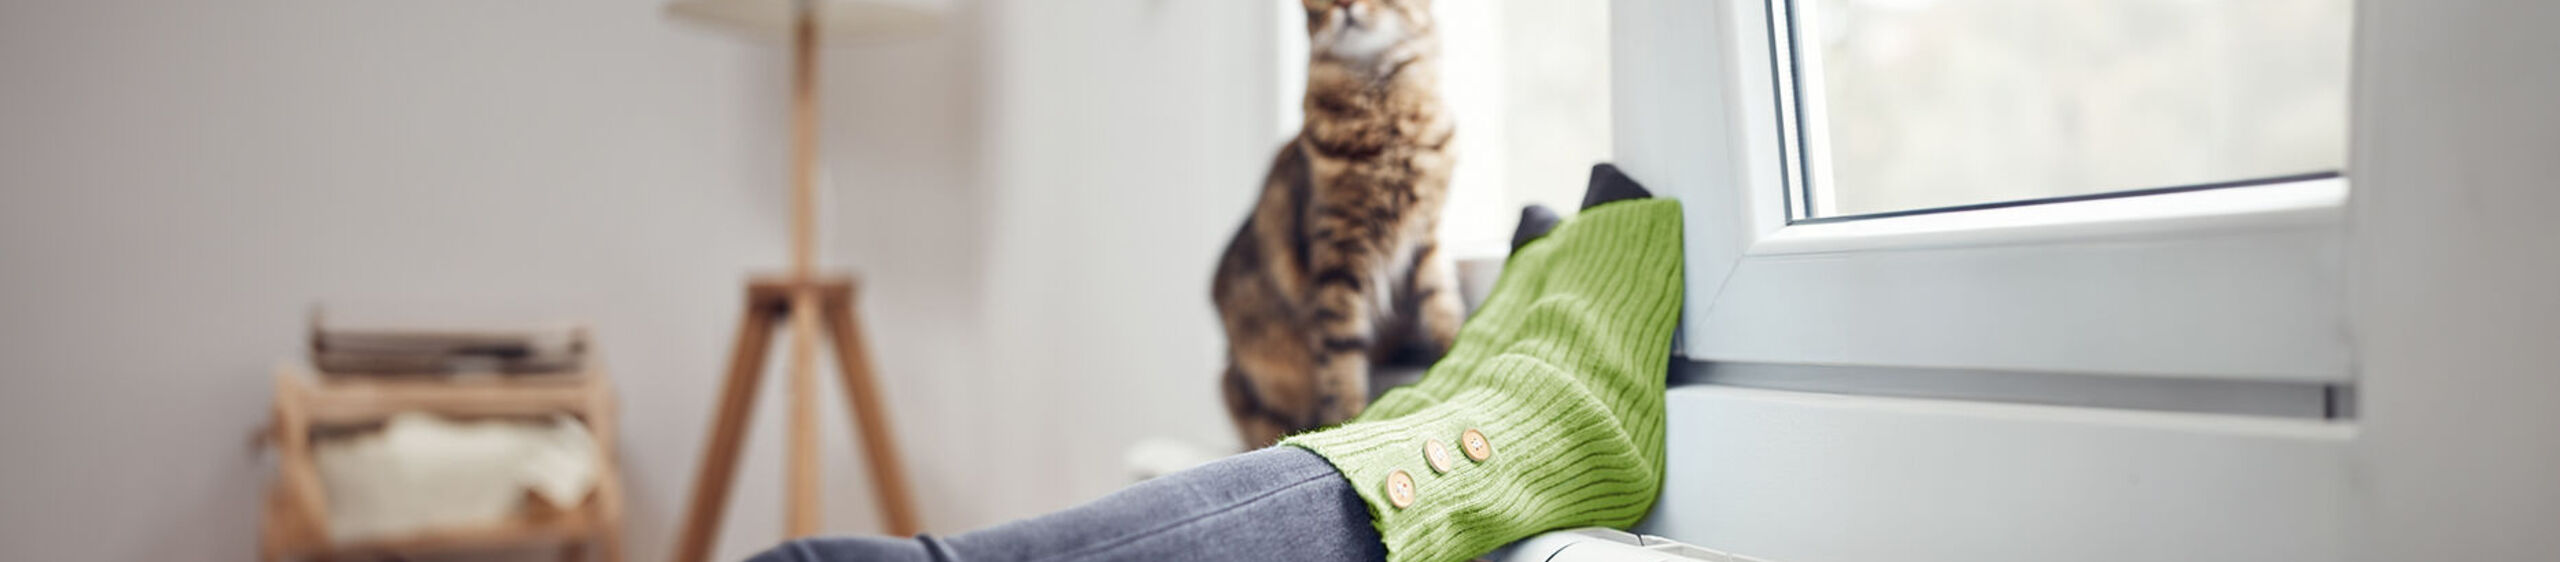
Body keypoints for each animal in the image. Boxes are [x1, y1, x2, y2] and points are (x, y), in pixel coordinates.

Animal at [1218, 0, 1464, 447]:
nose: (1345, 6)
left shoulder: (1426, 237)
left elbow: (1441, 303)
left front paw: (1455, 347)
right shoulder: (1339, 255)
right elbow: (1342, 358)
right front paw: (1347, 421)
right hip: (1238, 383)